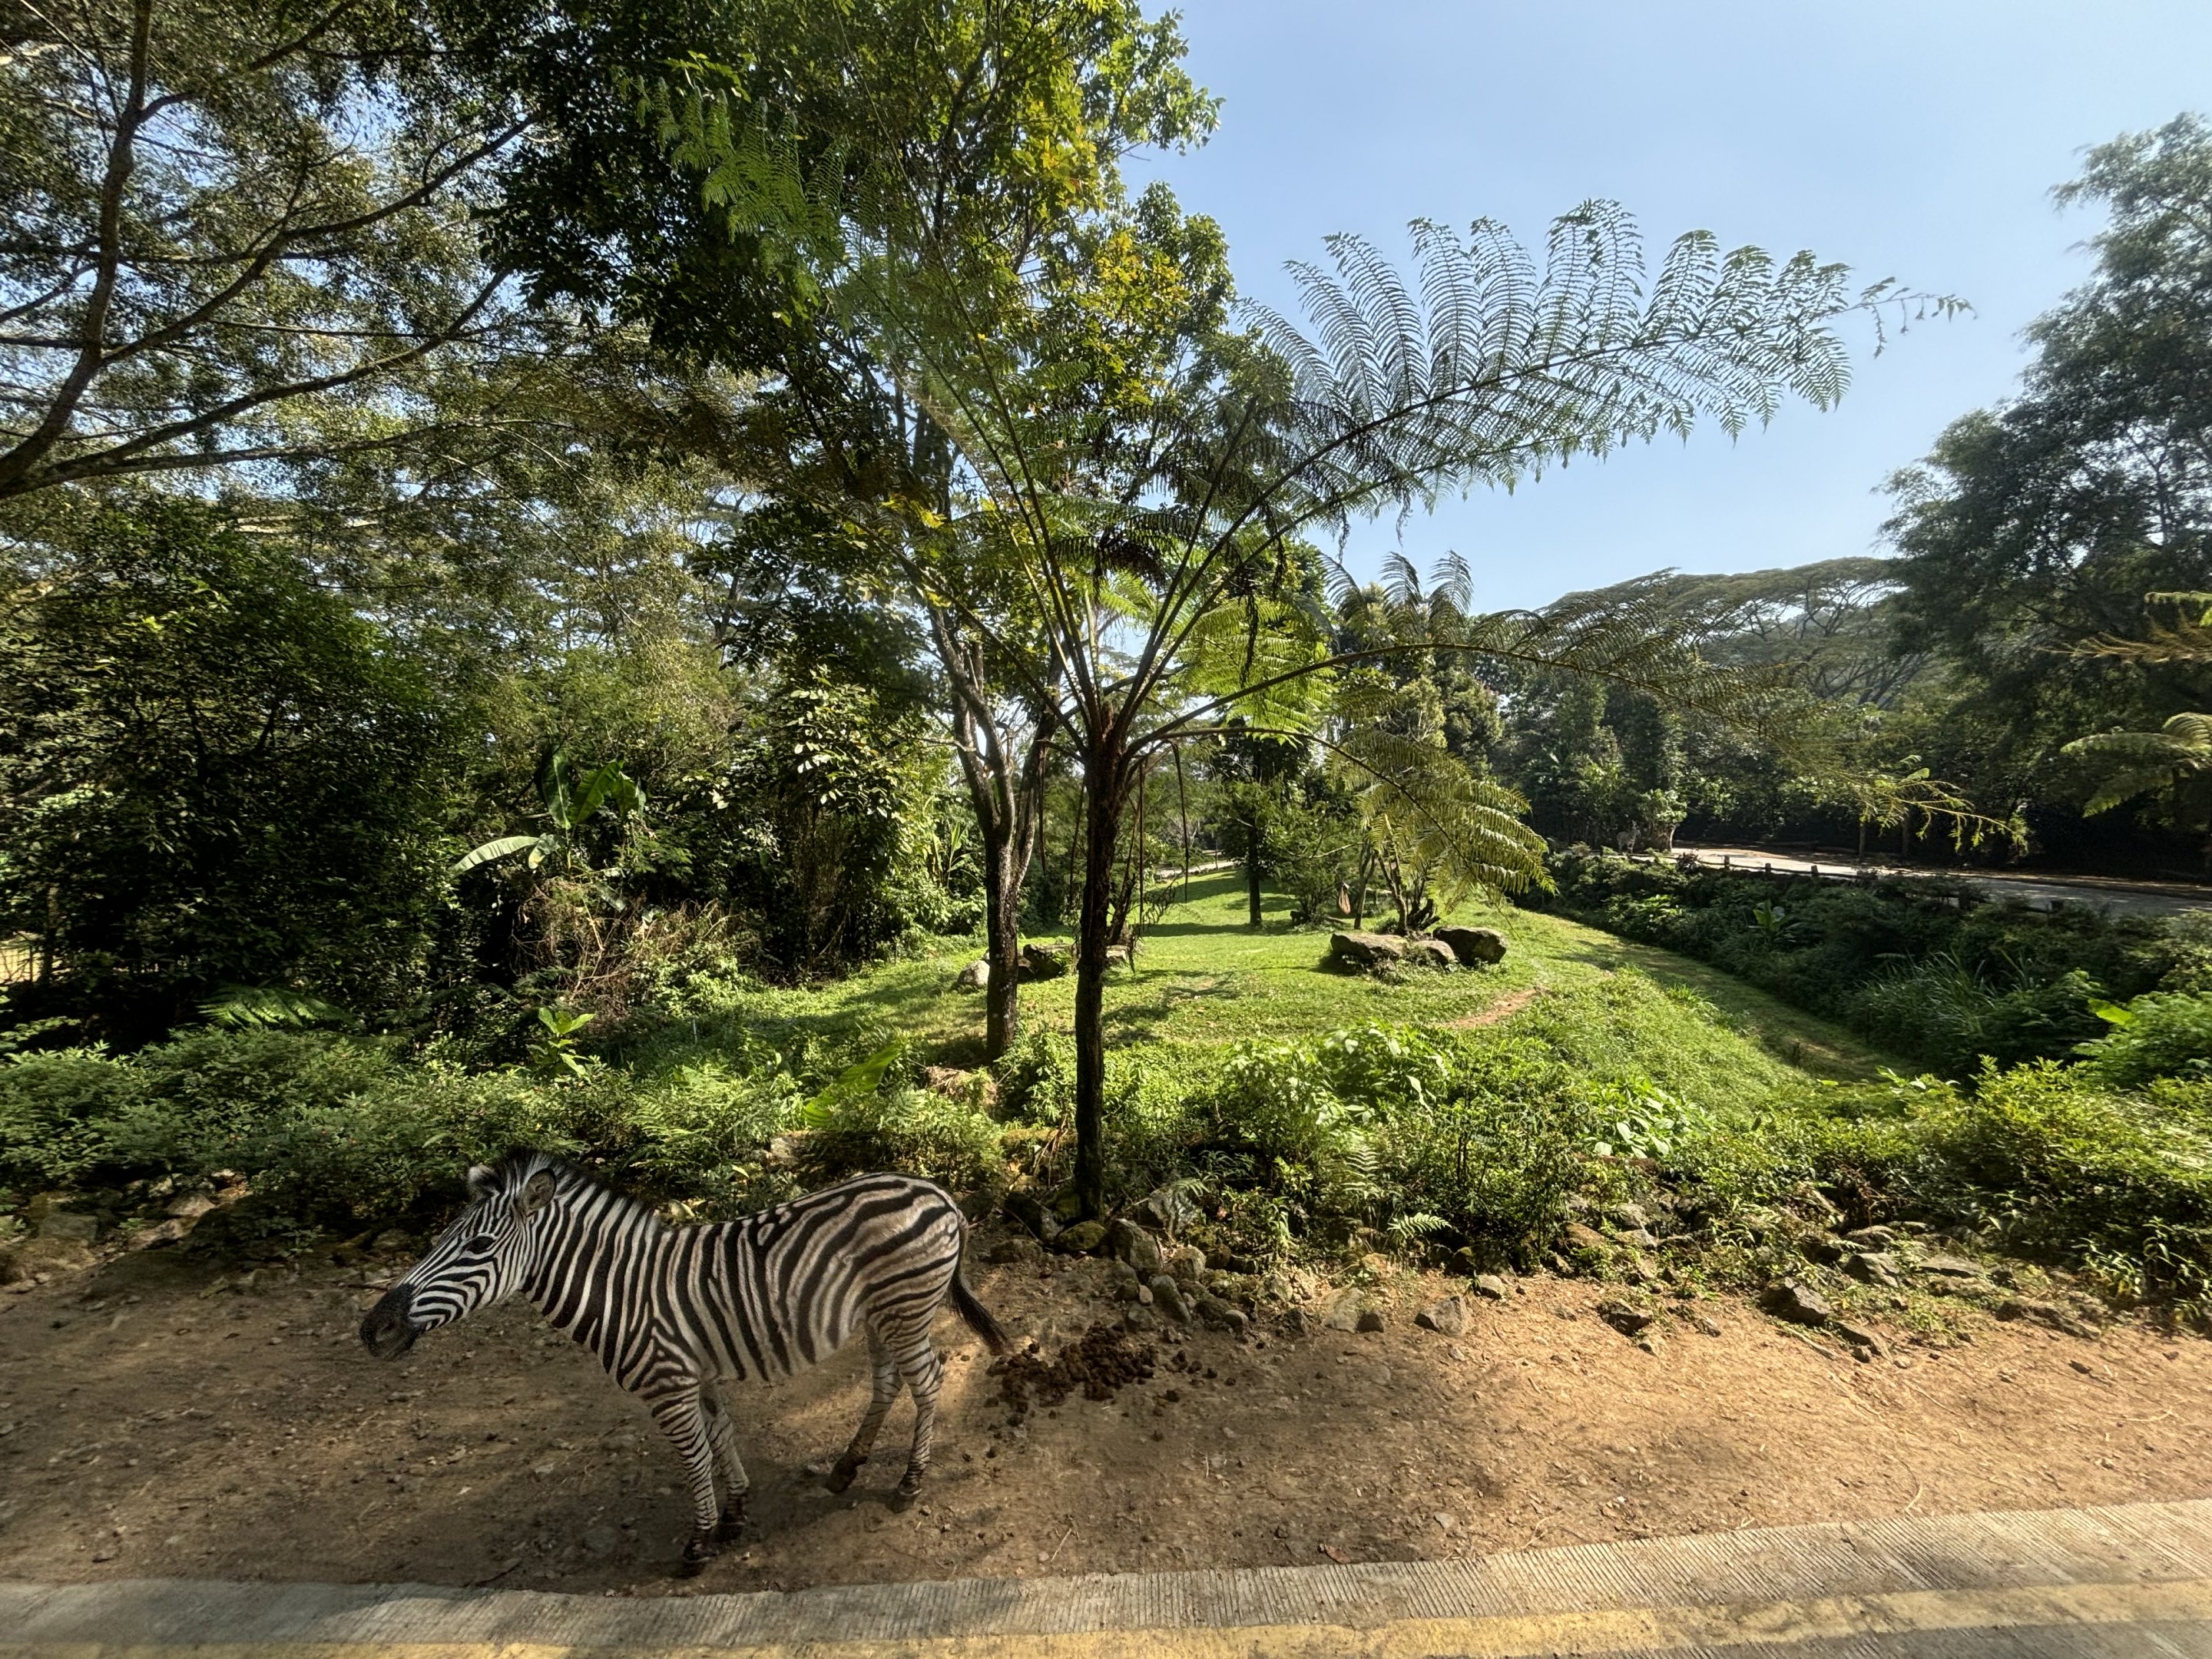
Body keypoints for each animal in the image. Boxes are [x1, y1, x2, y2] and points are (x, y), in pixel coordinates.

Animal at [358, 1151, 1009, 1570]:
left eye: (479, 1246)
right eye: (439, 1240)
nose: (373, 1329)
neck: (622, 1291)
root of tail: (938, 1192)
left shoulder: (666, 1383)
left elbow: (694, 1455)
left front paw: (699, 1542)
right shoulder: (697, 1373)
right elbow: (720, 1436)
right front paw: (735, 1514)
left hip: (906, 1307)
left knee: (929, 1382)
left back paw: (909, 1482)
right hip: (881, 1314)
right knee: (888, 1382)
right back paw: (848, 1466)